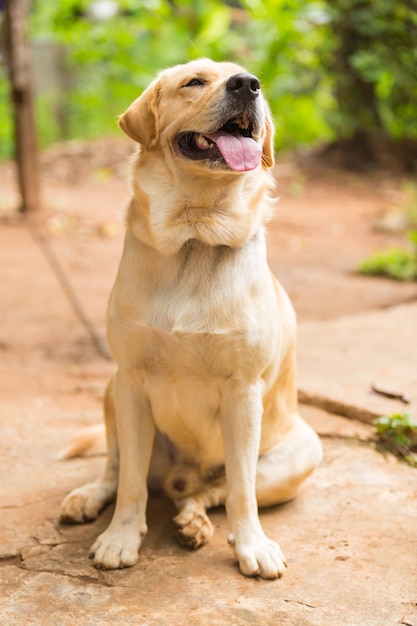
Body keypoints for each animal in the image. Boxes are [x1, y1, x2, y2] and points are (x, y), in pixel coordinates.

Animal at [59, 58, 322, 576]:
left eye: (250, 79)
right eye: (194, 82)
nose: (248, 86)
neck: (195, 237)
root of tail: (180, 476)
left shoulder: (242, 393)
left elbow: (240, 490)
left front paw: (252, 545)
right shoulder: (131, 381)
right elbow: (130, 482)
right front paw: (120, 538)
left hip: (302, 454)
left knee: (211, 491)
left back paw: (195, 522)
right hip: (110, 392)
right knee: (117, 469)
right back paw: (91, 497)